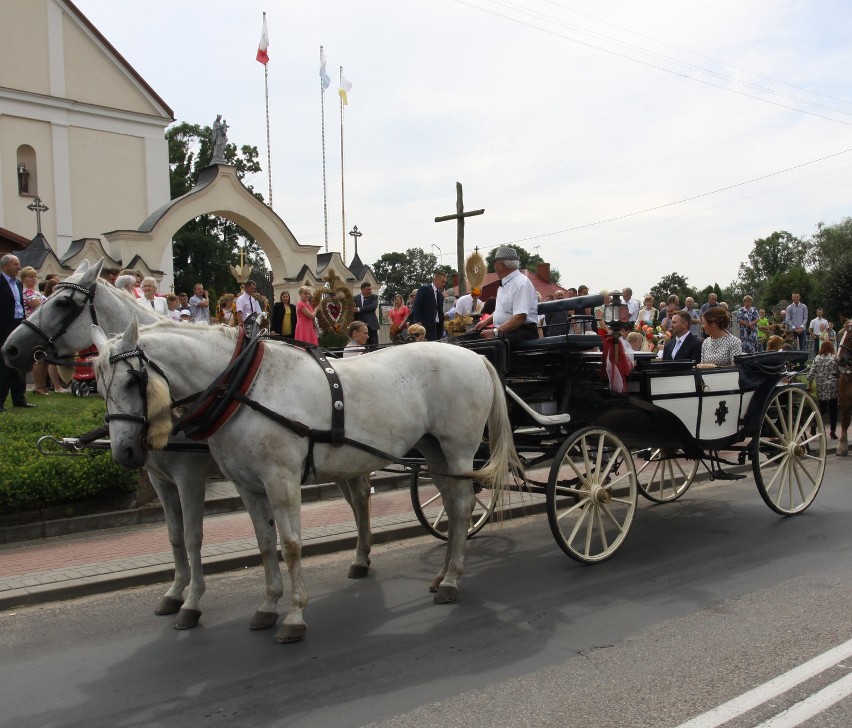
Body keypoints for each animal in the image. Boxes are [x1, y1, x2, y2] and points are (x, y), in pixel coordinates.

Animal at [0, 262, 370, 632]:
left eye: (62, 302)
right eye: (44, 295)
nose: (10, 350)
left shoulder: (188, 476)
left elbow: (193, 536)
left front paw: (192, 602)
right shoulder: (160, 479)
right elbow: (175, 535)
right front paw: (175, 593)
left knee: (358, 500)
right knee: (357, 500)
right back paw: (361, 557)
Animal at [91, 318, 520, 644]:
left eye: (131, 381)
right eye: (97, 386)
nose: (124, 452)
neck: (246, 388)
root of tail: (475, 356)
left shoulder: (277, 480)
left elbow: (292, 546)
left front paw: (294, 615)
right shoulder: (248, 486)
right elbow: (265, 545)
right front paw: (268, 605)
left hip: (460, 447)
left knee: (462, 507)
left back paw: (452, 580)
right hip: (433, 450)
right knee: (447, 503)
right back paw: (441, 574)